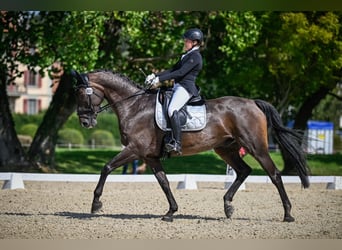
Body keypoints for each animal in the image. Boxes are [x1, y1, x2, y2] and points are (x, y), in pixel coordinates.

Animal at [72, 69, 310, 223]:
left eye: (82, 93)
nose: (85, 122)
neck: (134, 106)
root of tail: (253, 102)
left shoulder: (134, 149)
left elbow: (106, 168)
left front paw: (95, 205)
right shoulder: (149, 156)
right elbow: (164, 182)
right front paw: (171, 212)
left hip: (256, 147)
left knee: (274, 174)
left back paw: (288, 214)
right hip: (226, 149)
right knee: (244, 170)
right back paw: (228, 206)